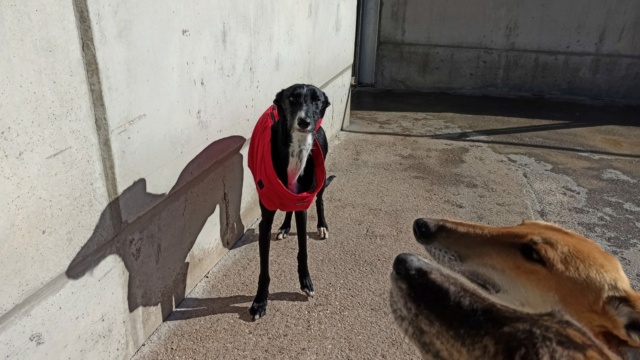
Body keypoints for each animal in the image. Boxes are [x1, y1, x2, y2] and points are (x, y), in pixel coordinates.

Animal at [249, 84, 332, 320]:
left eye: (317, 100)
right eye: (292, 99)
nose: (304, 121)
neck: (296, 151)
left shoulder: (302, 205)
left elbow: (303, 250)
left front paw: (306, 282)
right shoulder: (265, 219)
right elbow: (264, 268)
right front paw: (260, 301)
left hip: (320, 181)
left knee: (320, 200)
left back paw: (322, 225)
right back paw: (285, 227)